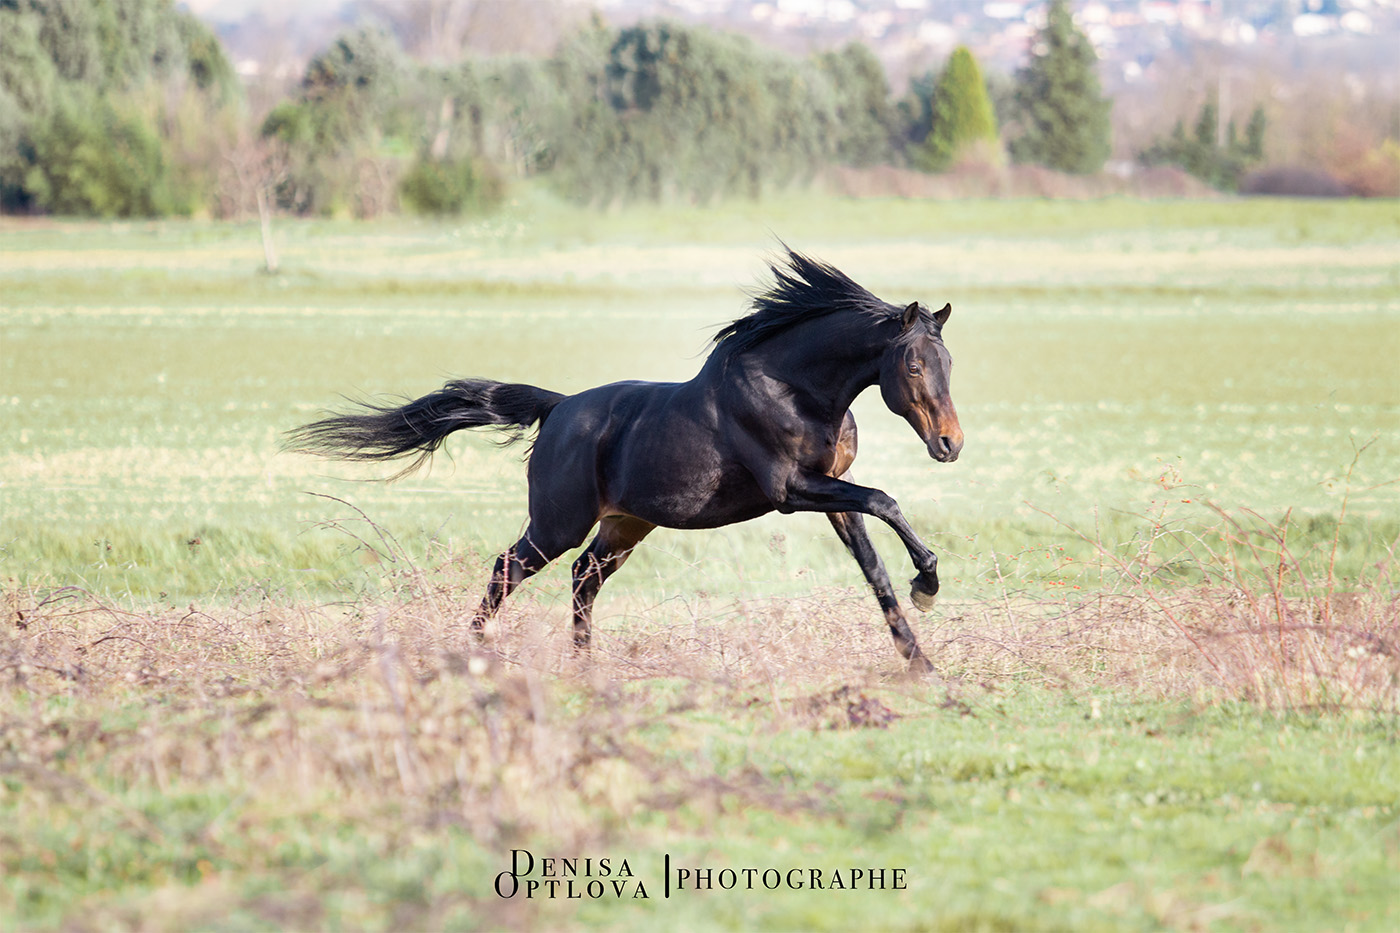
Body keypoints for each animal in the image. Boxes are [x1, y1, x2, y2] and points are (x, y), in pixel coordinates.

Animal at [284, 246, 963, 669]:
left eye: (948, 361)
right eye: (912, 364)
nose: (950, 444)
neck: (794, 386)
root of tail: (557, 408)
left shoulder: (828, 489)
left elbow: (874, 568)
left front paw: (920, 660)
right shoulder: (790, 490)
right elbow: (885, 500)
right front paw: (928, 586)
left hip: (625, 525)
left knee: (583, 578)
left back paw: (586, 667)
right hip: (558, 523)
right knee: (508, 568)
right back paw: (476, 652)